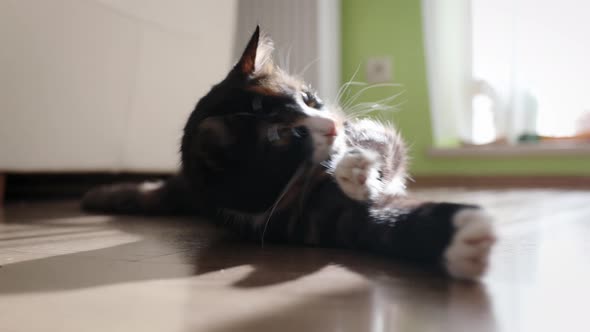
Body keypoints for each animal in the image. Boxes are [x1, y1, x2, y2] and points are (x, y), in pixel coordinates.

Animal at [83, 26, 498, 280]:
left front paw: (357, 165)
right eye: (282, 135)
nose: (331, 125)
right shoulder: (304, 219)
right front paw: (460, 238)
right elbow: (366, 222)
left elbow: (383, 143)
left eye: (309, 99)